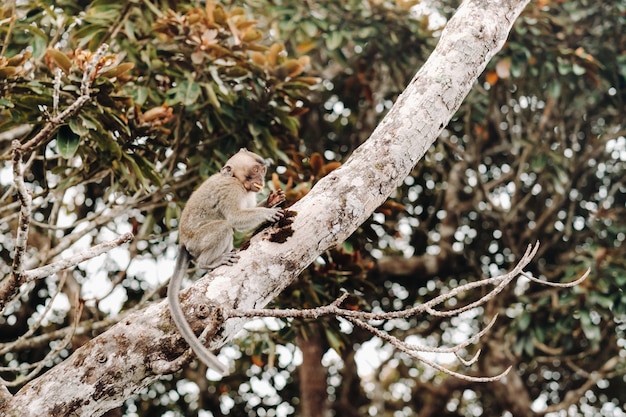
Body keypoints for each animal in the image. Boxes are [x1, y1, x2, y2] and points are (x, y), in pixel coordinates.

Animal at [166, 149, 282, 374]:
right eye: (256, 170)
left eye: (263, 170)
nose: (262, 180)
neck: (236, 180)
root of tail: (183, 241)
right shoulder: (231, 189)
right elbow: (236, 218)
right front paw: (268, 212)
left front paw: (272, 200)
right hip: (198, 241)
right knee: (224, 226)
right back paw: (208, 263)